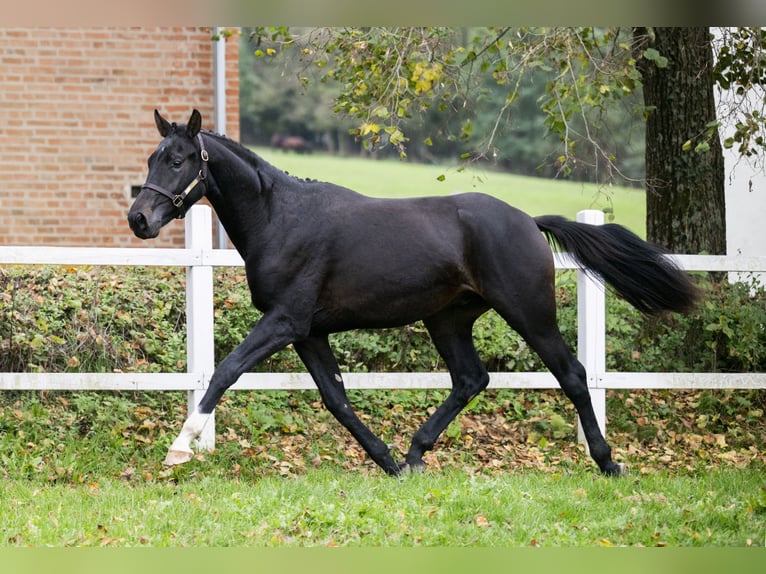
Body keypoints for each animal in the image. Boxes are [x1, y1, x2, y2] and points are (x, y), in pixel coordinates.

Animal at [129, 110, 700, 480]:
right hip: (448, 320)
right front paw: (387, 462)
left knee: (574, 376)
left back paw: (607, 462)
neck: (281, 218)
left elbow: (225, 371)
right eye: (153, 157)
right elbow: (337, 399)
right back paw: (415, 454)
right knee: (471, 379)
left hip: (529, 312)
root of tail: (528, 221)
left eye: (179, 160)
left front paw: (179, 448)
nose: (139, 219)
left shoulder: (284, 322)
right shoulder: (309, 332)